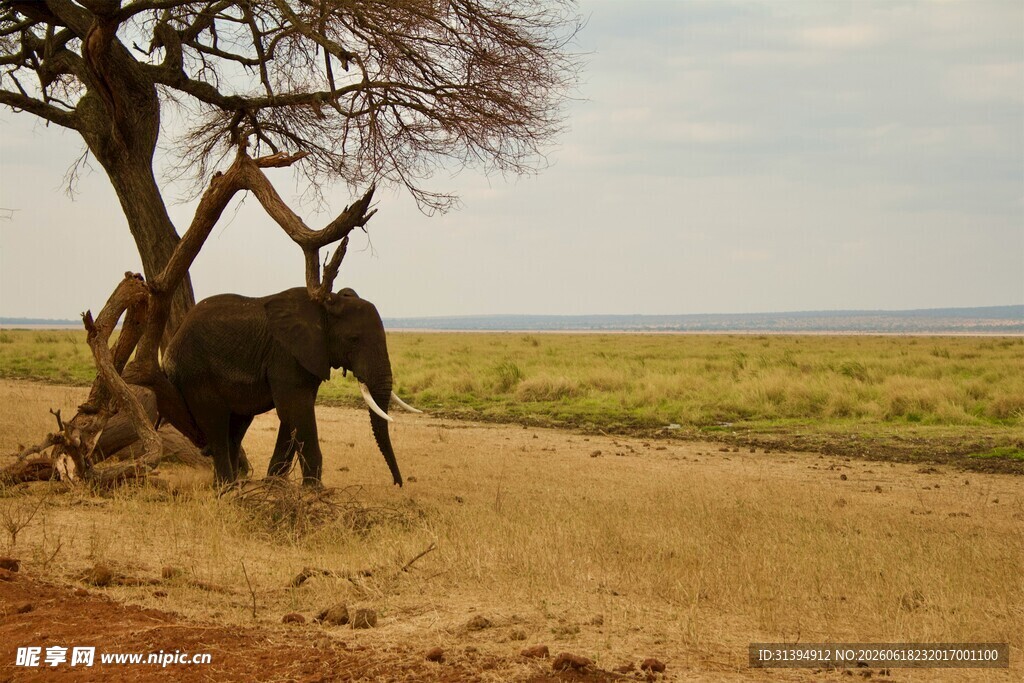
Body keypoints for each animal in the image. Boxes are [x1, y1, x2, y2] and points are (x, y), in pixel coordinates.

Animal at [162, 287, 418, 486]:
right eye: (353, 339)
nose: (397, 482)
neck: (325, 304)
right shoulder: (286, 354)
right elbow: (296, 410)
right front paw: (314, 491)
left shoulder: (309, 357)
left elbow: (292, 416)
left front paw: (273, 485)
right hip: (195, 372)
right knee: (216, 424)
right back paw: (227, 488)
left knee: (236, 427)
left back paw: (231, 484)